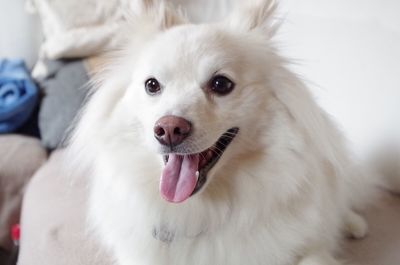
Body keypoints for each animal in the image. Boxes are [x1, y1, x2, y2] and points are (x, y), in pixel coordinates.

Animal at [68, 0, 378, 264]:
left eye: (221, 84)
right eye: (152, 85)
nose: (169, 129)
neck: (201, 211)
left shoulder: (309, 249)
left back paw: (355, 224)